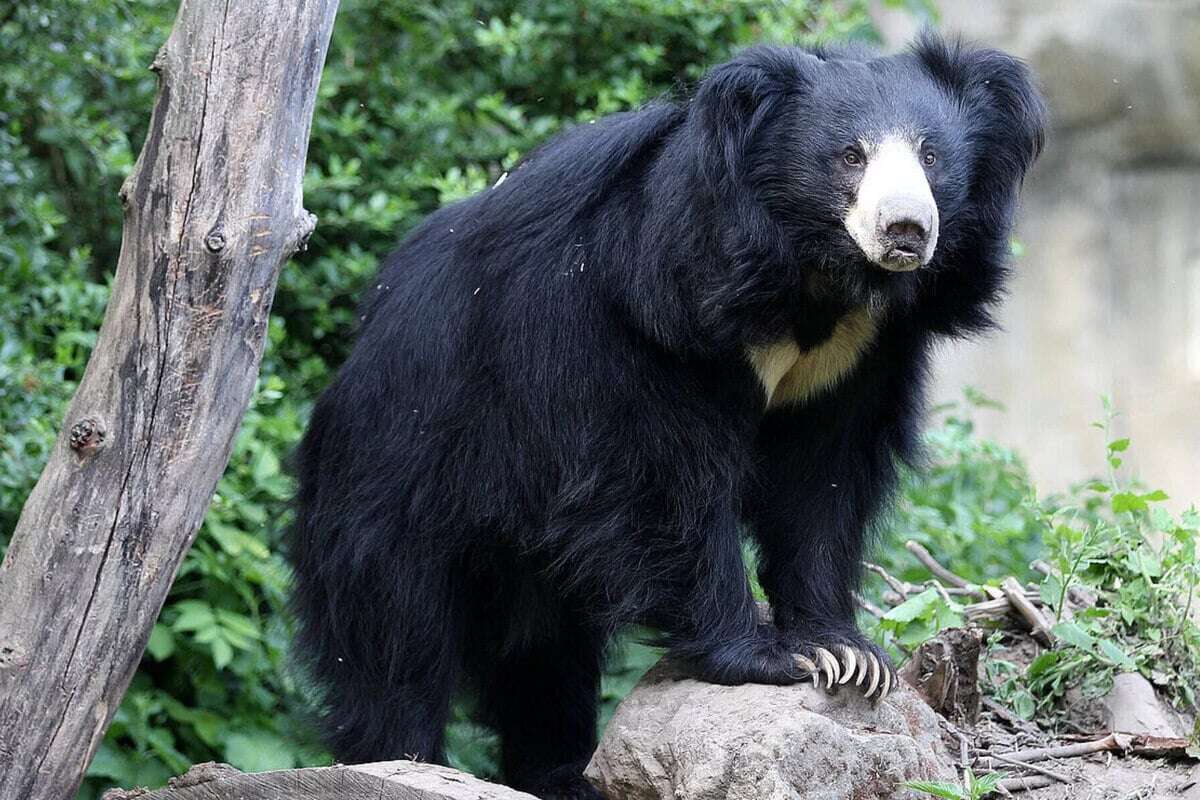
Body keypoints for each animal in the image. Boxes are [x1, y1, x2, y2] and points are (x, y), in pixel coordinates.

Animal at [288, 31, 1041, 800]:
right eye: (849, 156)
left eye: (931, 156)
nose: (906, 230)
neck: (811, 280)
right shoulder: (647, 321)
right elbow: (663, 484)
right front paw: (768, 658)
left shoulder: (859, 357)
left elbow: (820, 483)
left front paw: (845, 653)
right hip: (400, 466)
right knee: (395, 632)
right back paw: (401, 757)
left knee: (544, 652)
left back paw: (563, 774)